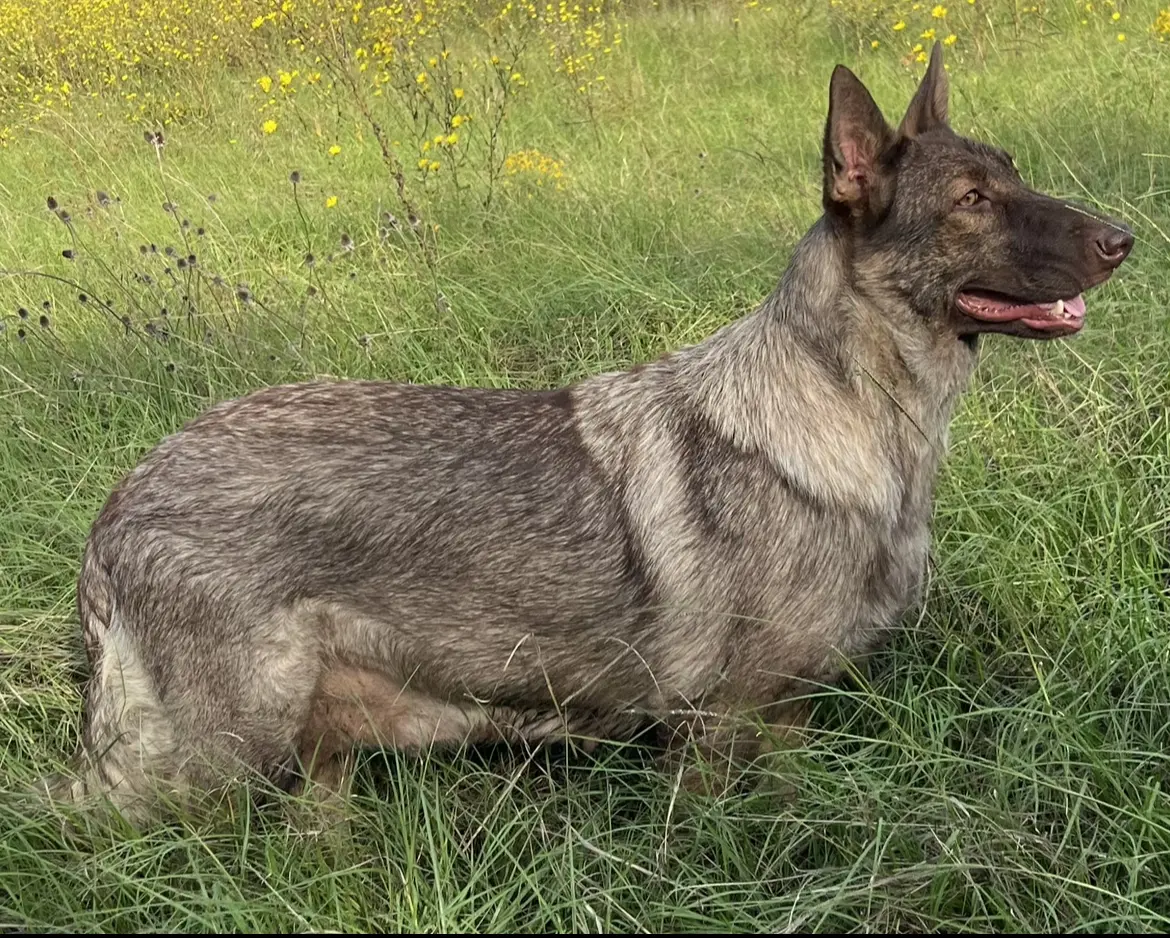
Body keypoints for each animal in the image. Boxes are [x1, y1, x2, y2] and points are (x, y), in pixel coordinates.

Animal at [47, 43, 1132, 818]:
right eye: (973, 201)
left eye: (1014, 175)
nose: (1125, 239)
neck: (857, 410)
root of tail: (120, 501)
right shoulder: (730, 726)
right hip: (212, 763)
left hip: (311, 769)